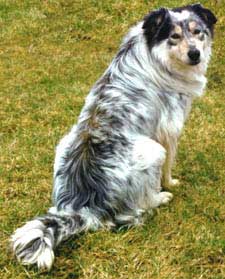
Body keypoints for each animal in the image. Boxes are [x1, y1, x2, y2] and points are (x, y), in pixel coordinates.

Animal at [10, 3, 216, 272]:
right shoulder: (169, 130)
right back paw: (161, 197)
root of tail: (85, 207)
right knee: (142, 204)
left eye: (197, 31)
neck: (153, 54)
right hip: (152, 151)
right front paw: (171, 183)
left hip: (63, 144)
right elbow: (168, 168)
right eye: (174, 36)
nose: (195, 54)